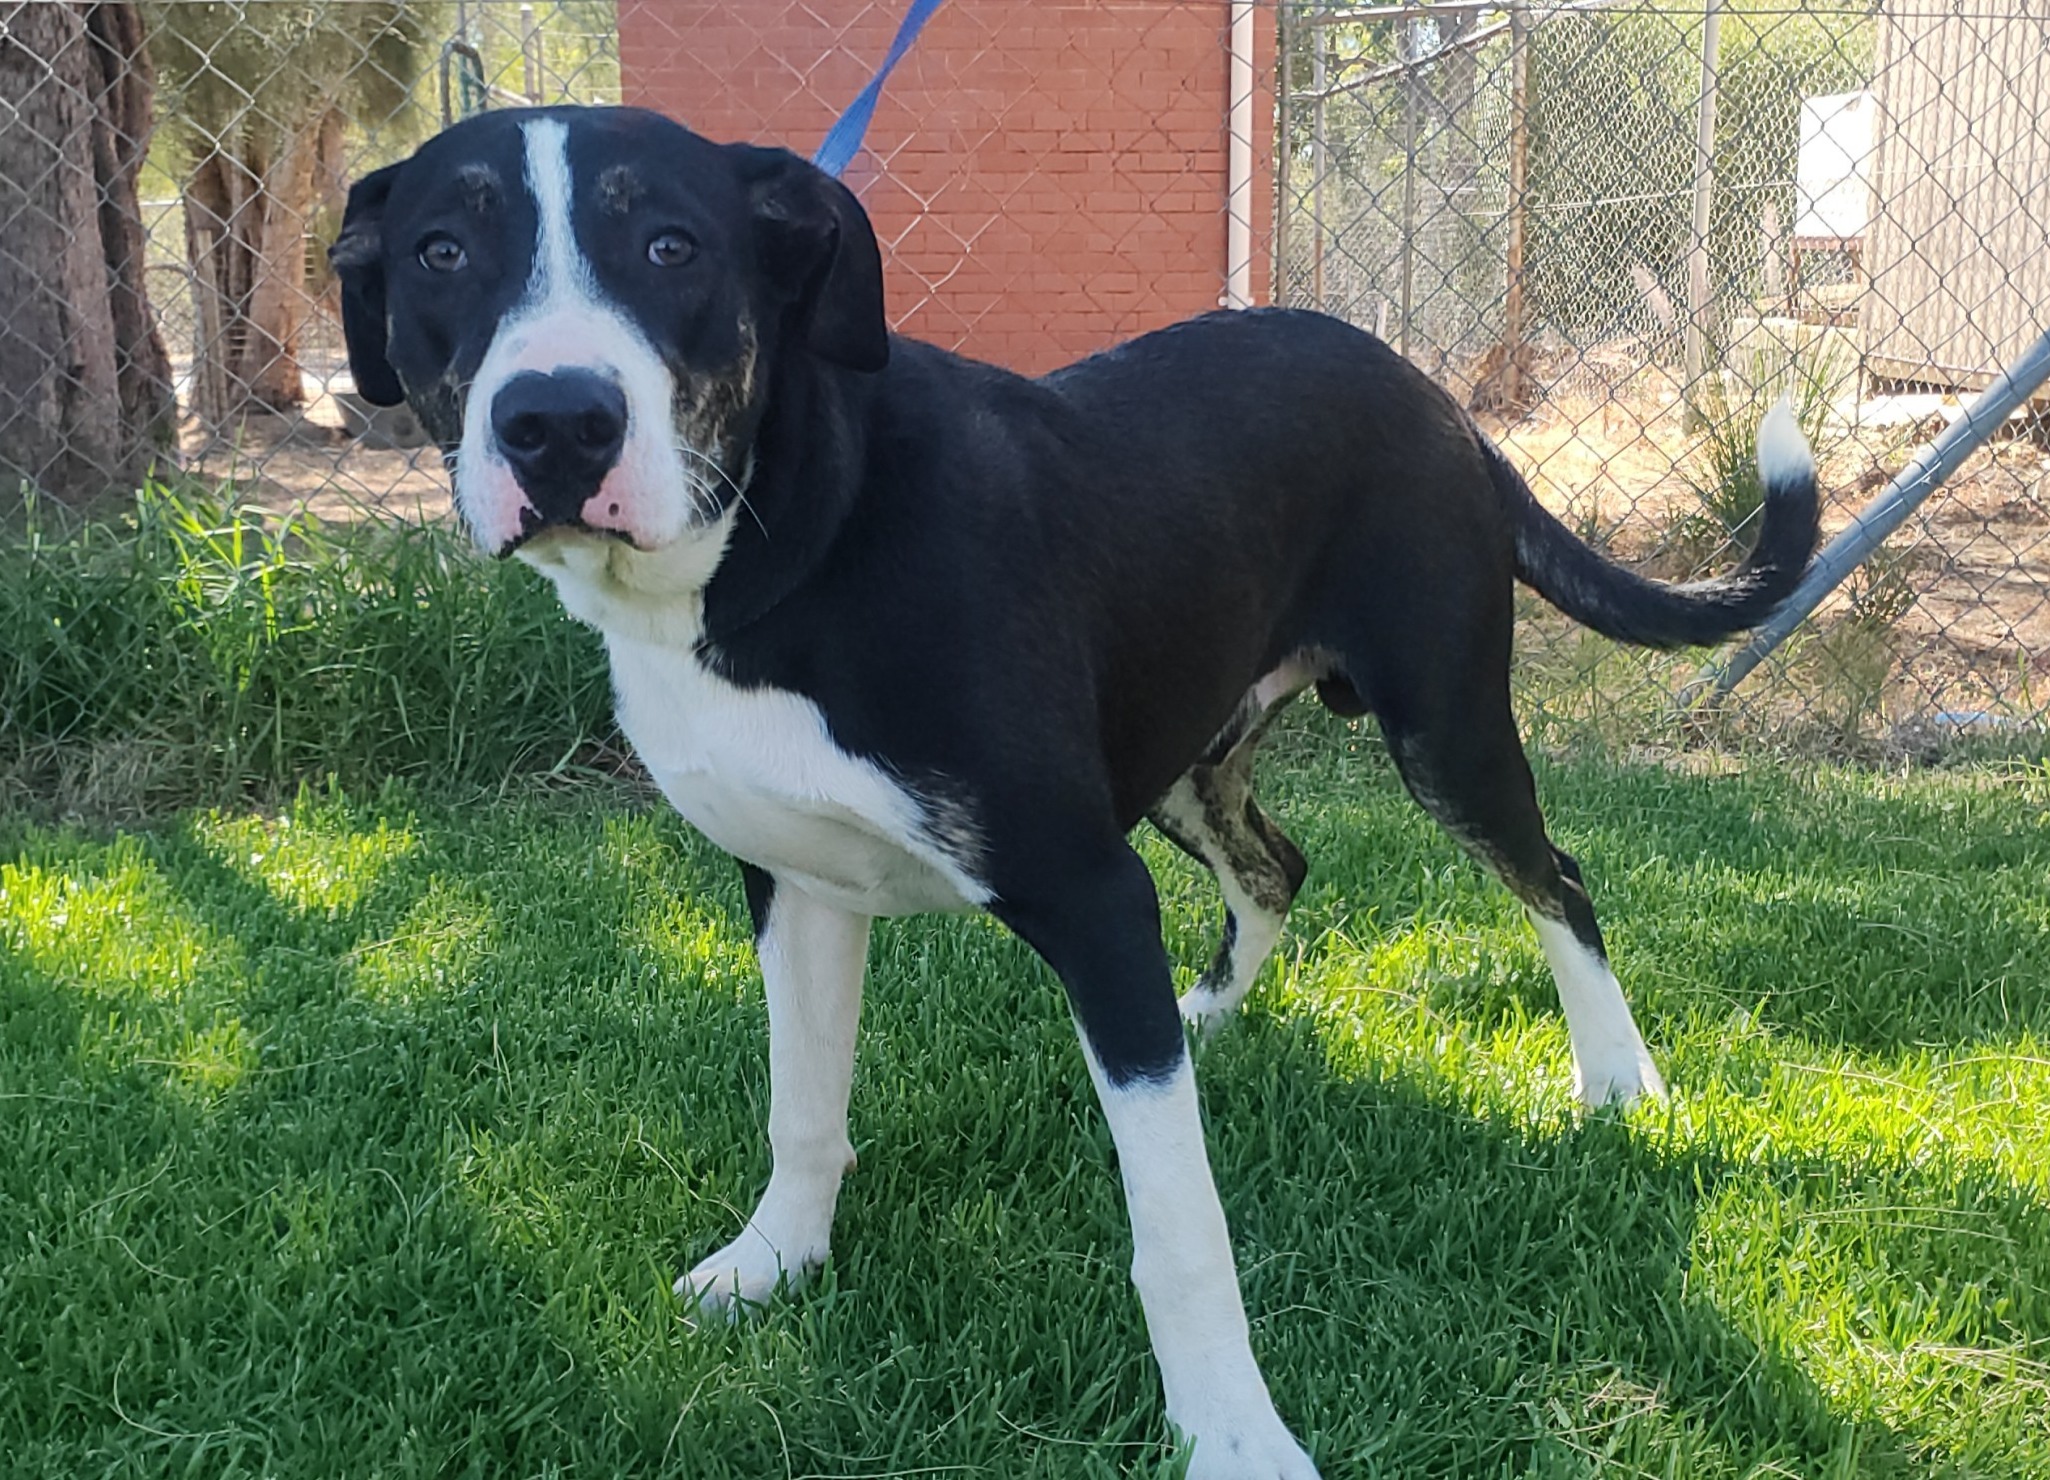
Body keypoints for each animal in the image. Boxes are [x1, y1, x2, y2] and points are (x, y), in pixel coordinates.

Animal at [336, 106, 1828, 1475]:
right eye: (441, 250)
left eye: (670, 245)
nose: (556, 422)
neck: (793, 541)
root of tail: (1444, 402)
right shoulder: (795, 887)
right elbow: (802, 1106)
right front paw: (775, 1261)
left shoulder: (1088, 892)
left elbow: (1180, 1231)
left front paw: (1234, 1436)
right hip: (1183, 756)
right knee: (1274, 868)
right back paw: (1207, 1017)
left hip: (1443, 732)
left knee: (1553, 879)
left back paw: (1617, 1077)